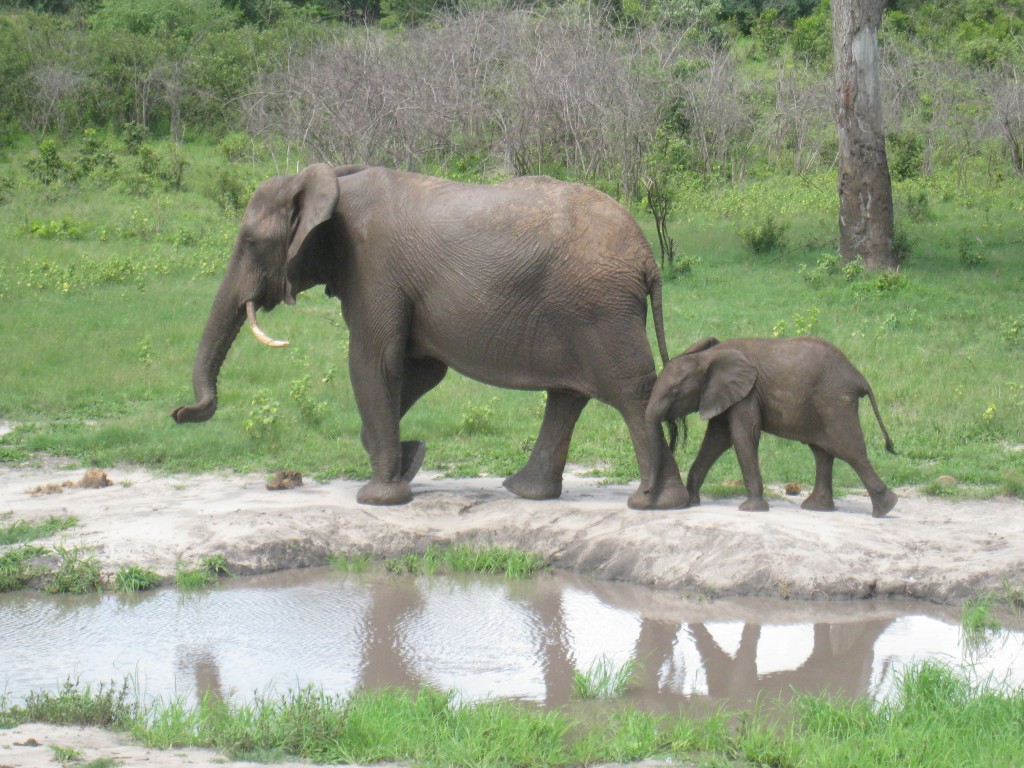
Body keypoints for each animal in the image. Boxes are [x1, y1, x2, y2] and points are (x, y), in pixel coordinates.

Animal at [172, 162, 688, 512]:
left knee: (629, 391)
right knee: (567, 396)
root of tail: (647, 257)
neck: (331, 179)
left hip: (599, 309)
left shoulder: (374, 270)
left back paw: (652, 503)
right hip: (581, 311)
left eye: (250, 243)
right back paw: (527, 491)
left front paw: (379, 497)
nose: (180, 413)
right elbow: (421, 370)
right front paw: (411, 459)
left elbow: (373, 362)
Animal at [647, 335, 897, 518]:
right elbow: (716, 439)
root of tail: (859, 378)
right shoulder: (723, 394)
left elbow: (743, 436)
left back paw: (886, 508)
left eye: (674, 393)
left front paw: (750, 509)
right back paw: (817, 508)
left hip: (835, 401)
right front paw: (690, 503)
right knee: (822, 452)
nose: (648, 494)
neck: (707, 357)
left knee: (848, 450)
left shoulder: (747, 394)